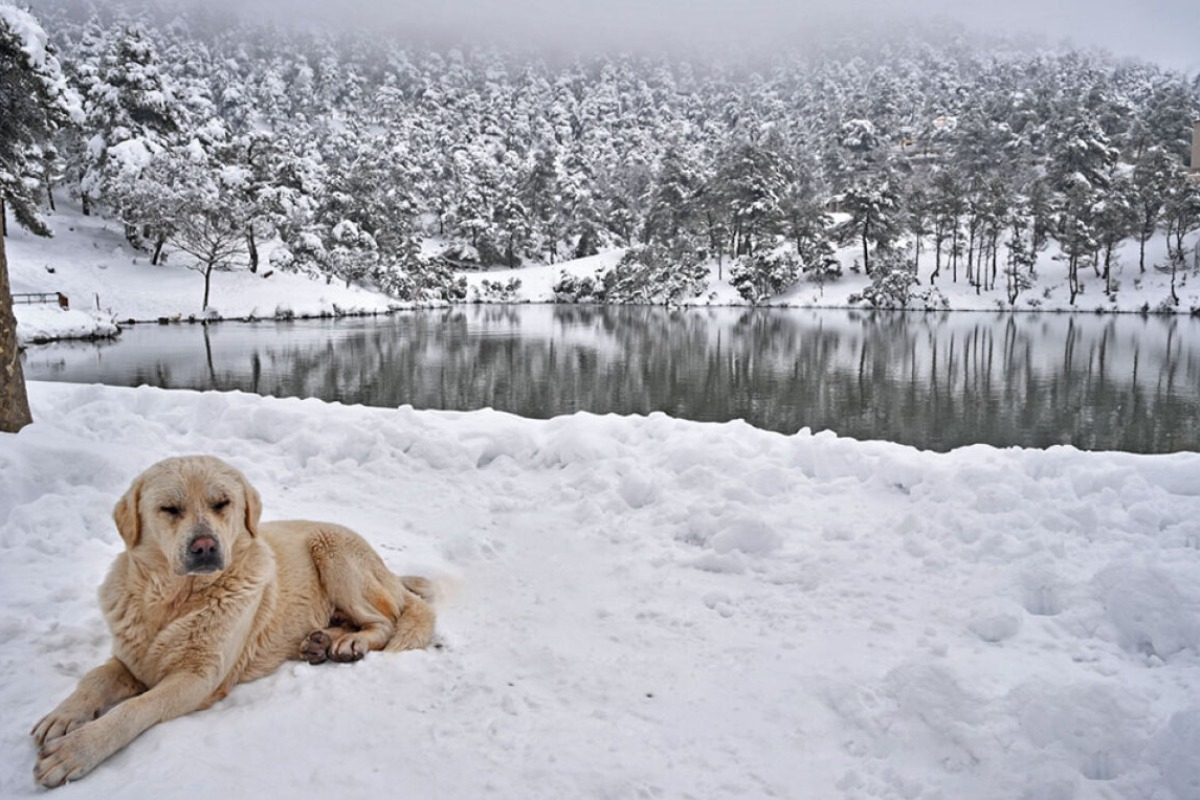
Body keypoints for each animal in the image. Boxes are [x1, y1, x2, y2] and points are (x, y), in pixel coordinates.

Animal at [29, 455, 436, 786]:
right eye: (170, 509)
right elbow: (94, 678)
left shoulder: (197, 678)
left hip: (332, 549)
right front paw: (62, 716)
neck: (173, 600)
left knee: (385, 620)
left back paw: (350, 642)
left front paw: (78, 749)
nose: (205, 546)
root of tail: (389, 572)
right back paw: (319, 641)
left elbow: (133, 709)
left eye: (221, 503)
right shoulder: (130, 661)